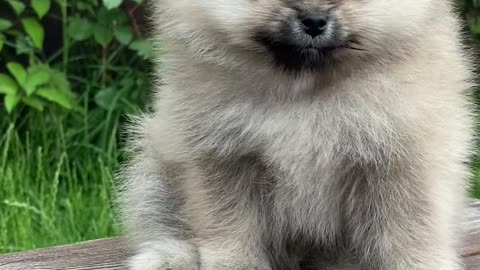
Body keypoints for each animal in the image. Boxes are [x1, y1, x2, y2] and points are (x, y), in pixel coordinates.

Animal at [118, 0, 474, 270]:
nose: (314, 20)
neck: (303, 94)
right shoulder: (225, 154)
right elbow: (231, 222)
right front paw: (233, 263)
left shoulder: (397, 159)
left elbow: (409, 230)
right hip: (157, 166)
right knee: (161, 219)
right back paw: (170, 256)